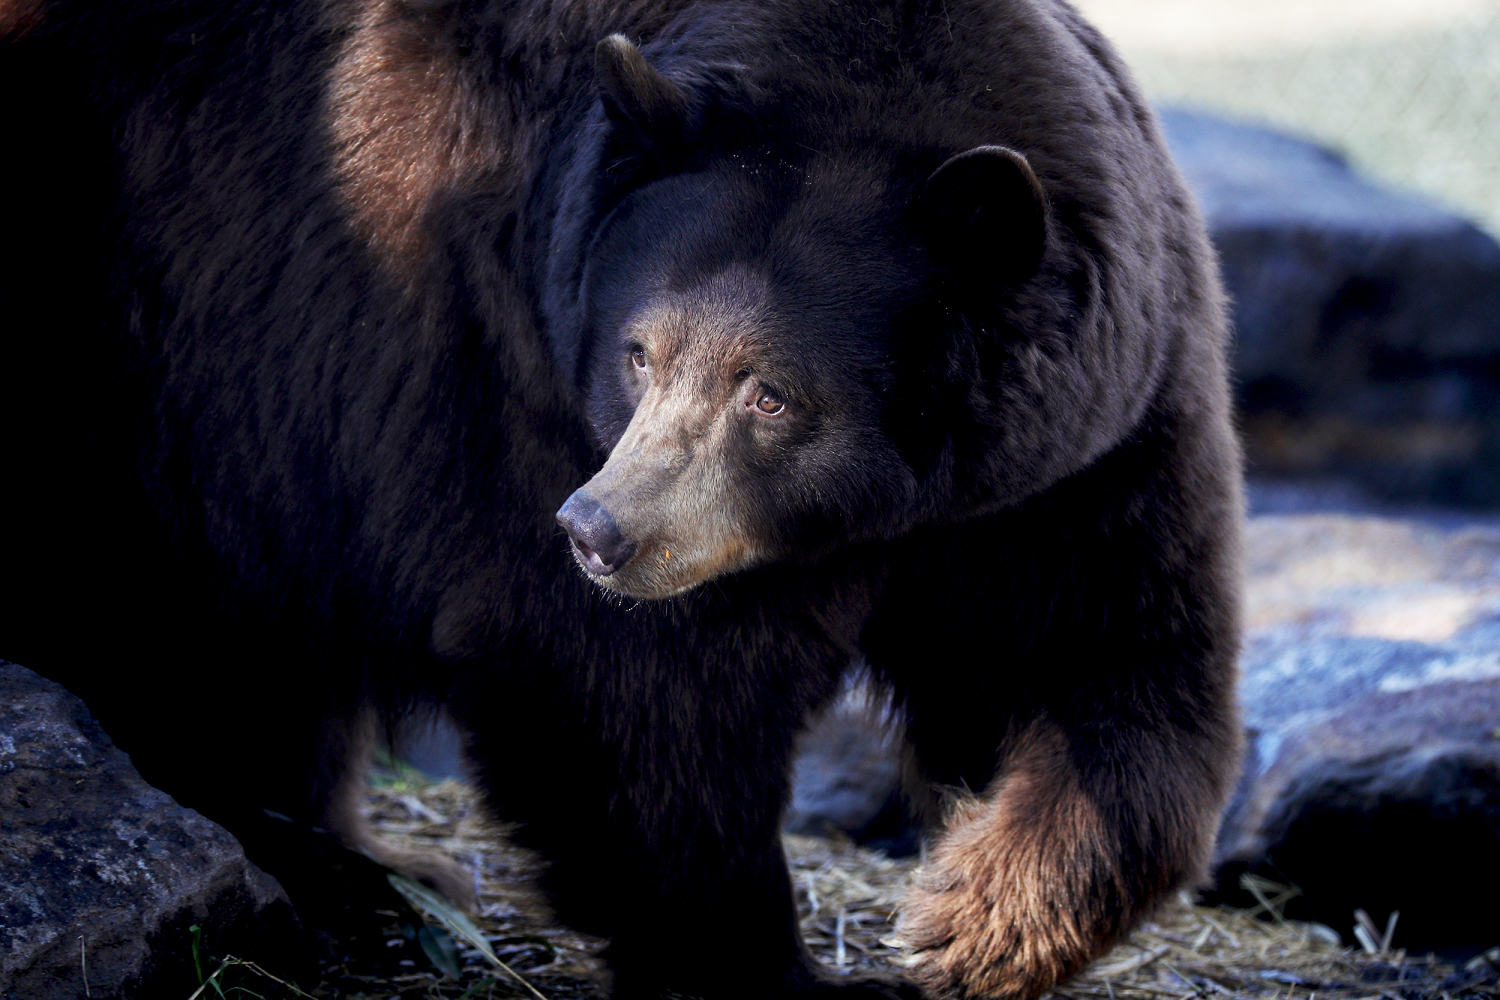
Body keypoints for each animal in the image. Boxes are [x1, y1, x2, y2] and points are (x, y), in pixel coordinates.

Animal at [0, 1, 1242, 1000]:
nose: (599, 532)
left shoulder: (1077, 449)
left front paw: (971, 918)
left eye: (770, 390)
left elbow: (1120, 656)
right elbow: (627, 704)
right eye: (638, 352)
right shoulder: (500, 366)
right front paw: (771, 964)